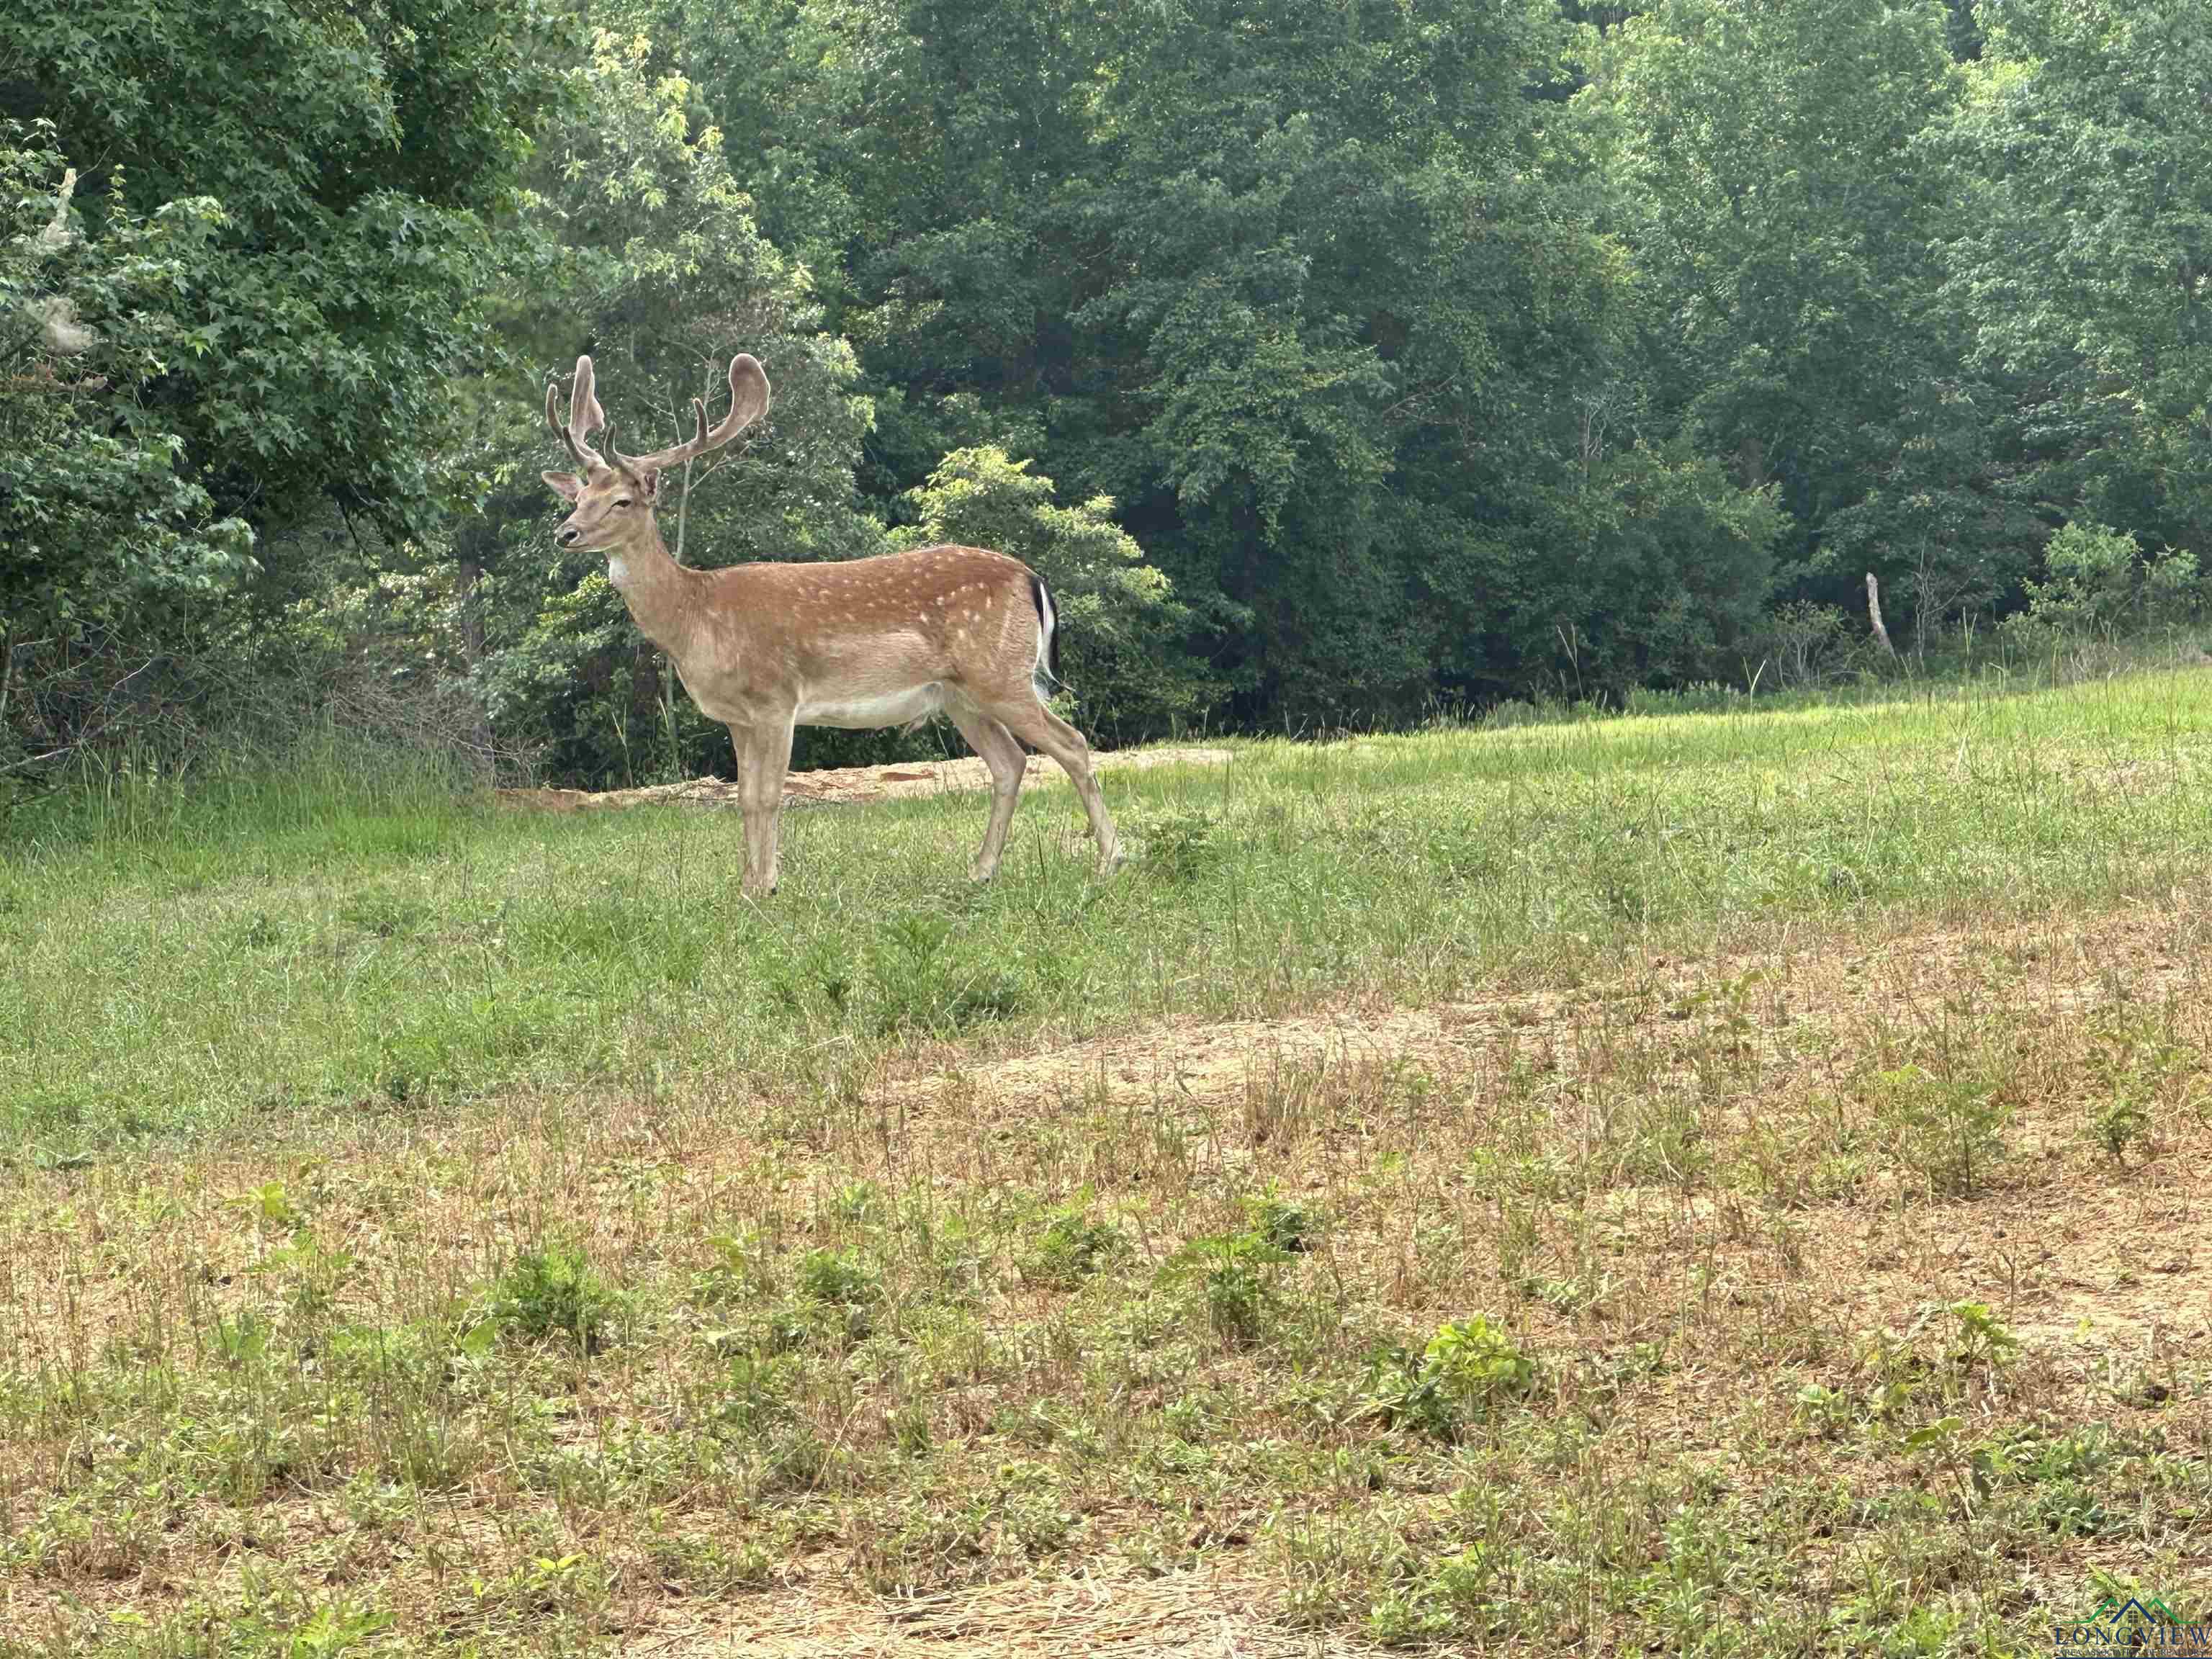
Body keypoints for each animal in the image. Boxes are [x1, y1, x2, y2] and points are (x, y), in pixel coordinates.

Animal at [537, 351, 1123, 898]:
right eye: (578, 498)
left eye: (622, 500)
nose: (565, 533)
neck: (697, 617)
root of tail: (1032, 577)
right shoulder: (737, 718)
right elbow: (743, 799)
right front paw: (745, 887)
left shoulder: (777, 699)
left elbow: (770, 796)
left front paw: (768, 886)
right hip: (960, 694)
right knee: (1010, 762)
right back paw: (981, 871)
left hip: (1000, 674)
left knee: (1072, 743)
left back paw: (1110, 862)